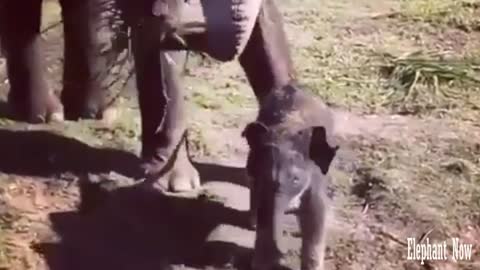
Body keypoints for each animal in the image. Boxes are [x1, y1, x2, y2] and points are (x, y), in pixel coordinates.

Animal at [240, 84, 338, 270]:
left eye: (295, 180)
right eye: (263, 176)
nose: (281, 255)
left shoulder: (316, 177)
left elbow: (316, 215)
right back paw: (252, 222)